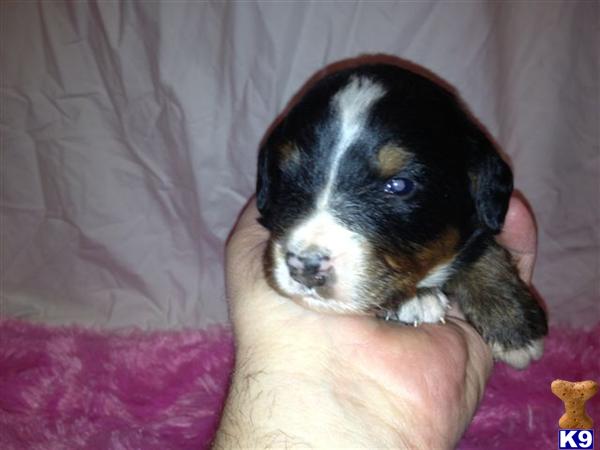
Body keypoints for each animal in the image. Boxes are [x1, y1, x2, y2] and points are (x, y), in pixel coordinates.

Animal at [255, 63, 548, 370]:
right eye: (286, 175)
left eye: (399, 185)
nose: (304, 267)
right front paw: (416, 299)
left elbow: (483, 247)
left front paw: (514, 324)